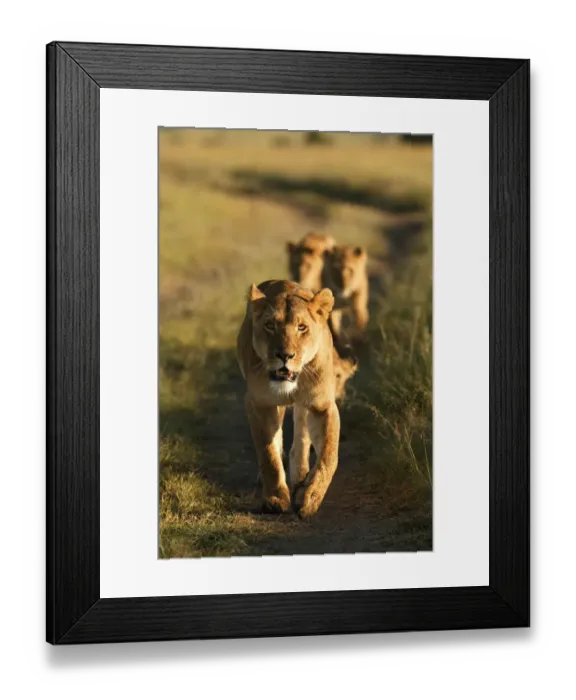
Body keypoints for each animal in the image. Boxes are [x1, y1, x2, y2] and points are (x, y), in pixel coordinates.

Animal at [237, 279, 340, 518]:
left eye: (302, 327)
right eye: (269, 326)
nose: (284, 356)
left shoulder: (323, 406)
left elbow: (329, 455)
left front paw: (310, 498)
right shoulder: (260, 403)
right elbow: (269, 454)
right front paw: (274, 498)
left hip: (303, 407)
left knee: (301, 437)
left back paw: (300, 478)